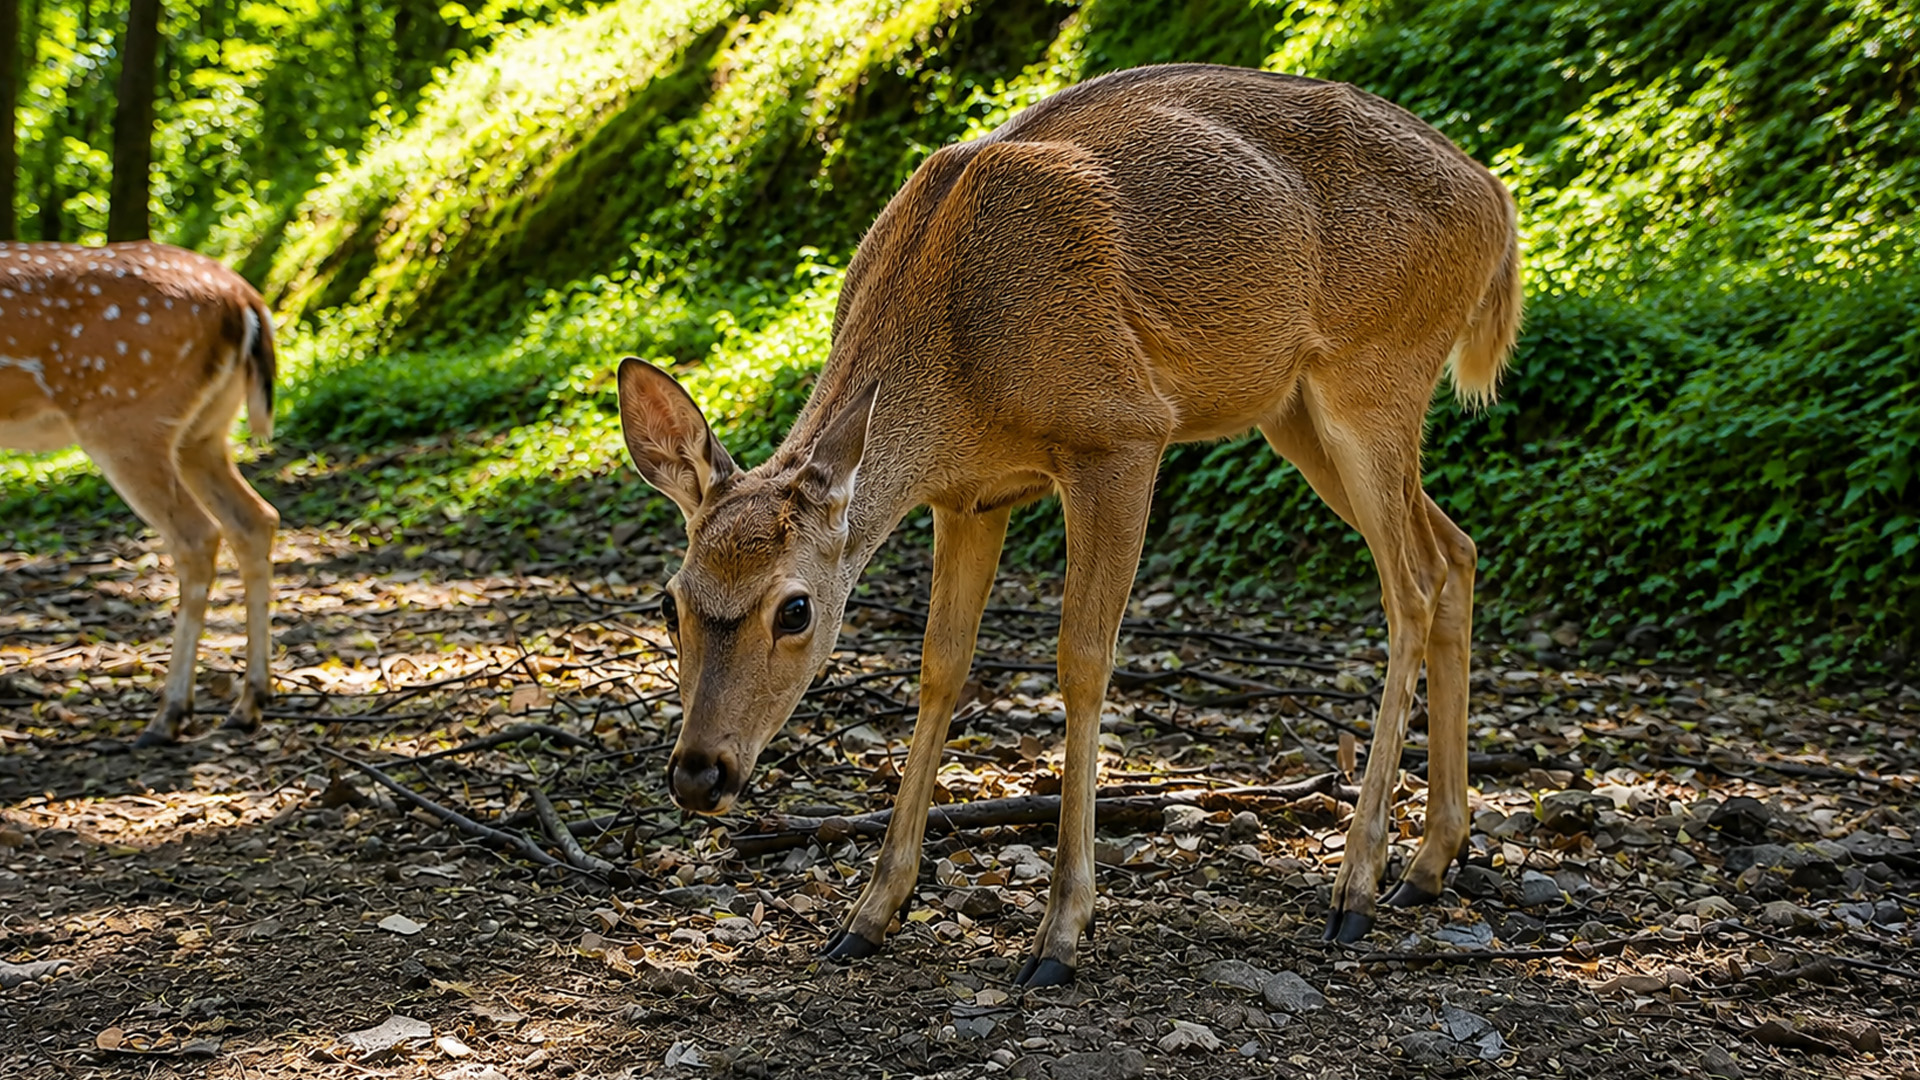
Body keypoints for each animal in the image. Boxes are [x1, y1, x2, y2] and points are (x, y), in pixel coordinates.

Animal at [0, 240, 280, 748]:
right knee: (255, 518)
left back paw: (169, 716)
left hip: (125, 416)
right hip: (204, 430)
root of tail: (246, 300)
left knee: (197, 533)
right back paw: (247, 705)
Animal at [616, 63, 1522, 986]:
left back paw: (1358, 886)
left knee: (1412, 584)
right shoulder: (971, 497)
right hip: (1296, 410)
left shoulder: (1119, 433)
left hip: (1375, 372)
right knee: (1458, 549)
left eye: (794, 608)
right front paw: (868, 915)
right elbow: (941, 666)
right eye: (669, 602)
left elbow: (1083, 659)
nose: (699, 774)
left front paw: (1059, 933)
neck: (959, 374)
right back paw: (1431, 862)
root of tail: (1498, 206)